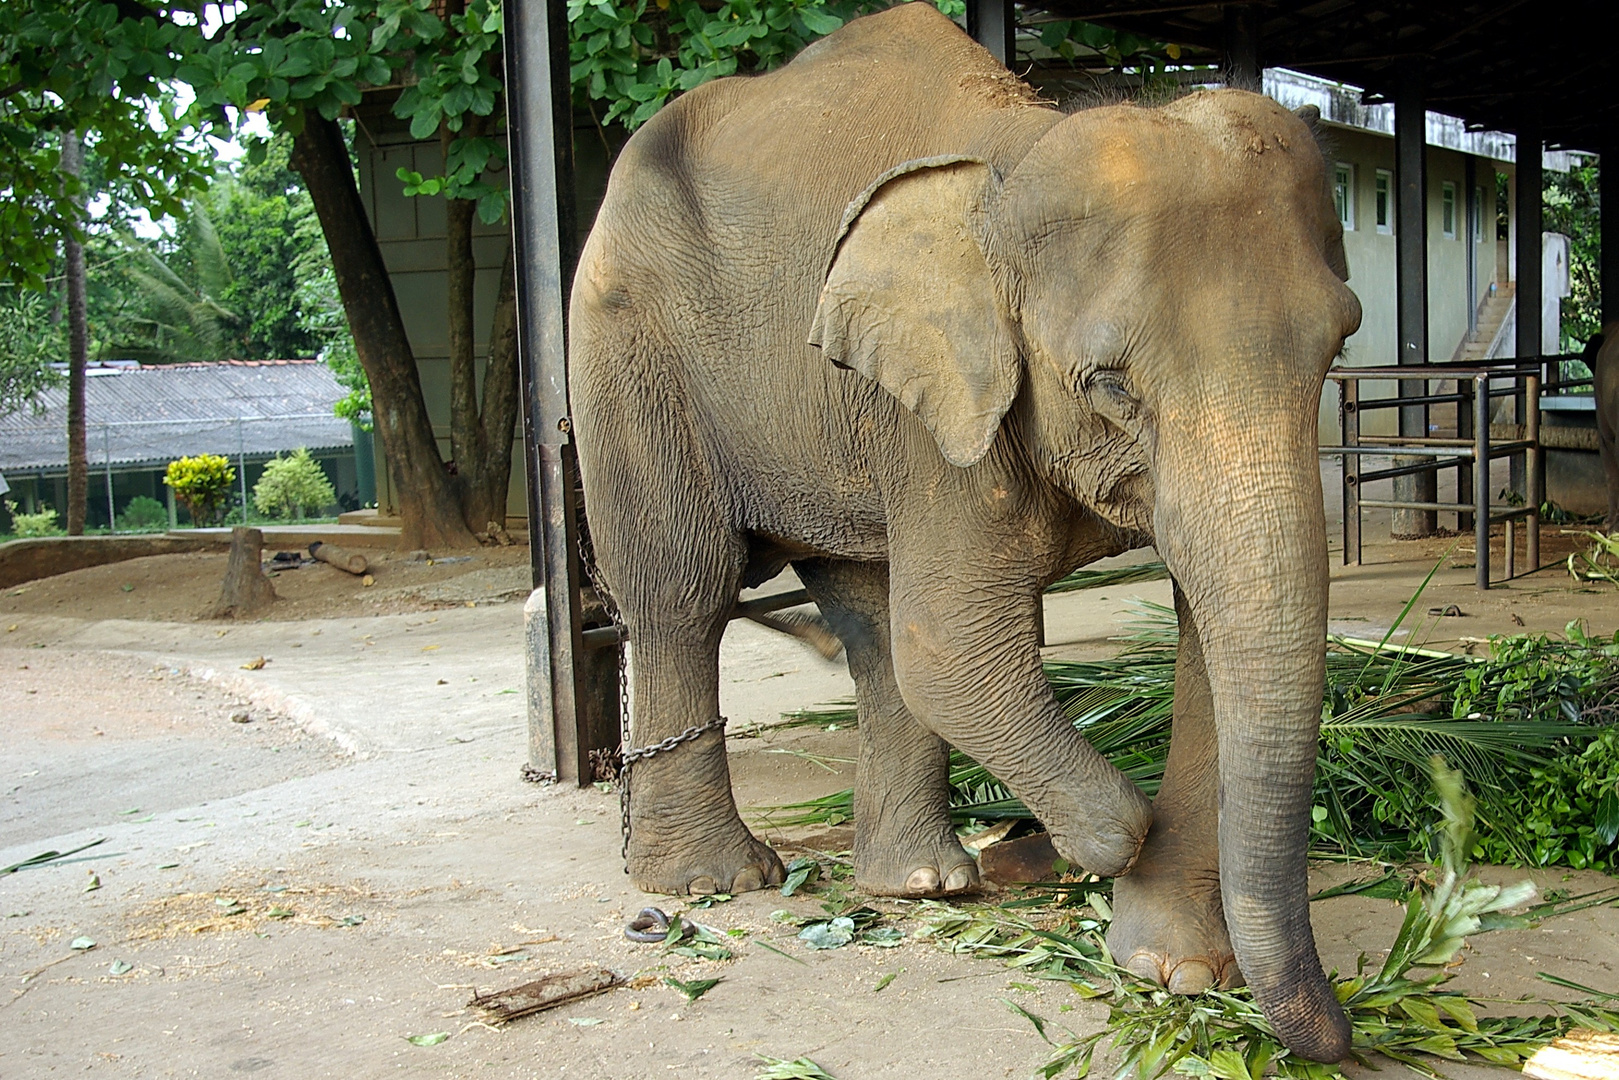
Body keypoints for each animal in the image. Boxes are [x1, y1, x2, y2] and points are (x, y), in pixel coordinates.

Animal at [569, 0, 1366, 1062]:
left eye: (1338, 345)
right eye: (1108, 385)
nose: (1344, 1036)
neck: (1016, 157)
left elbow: (1201, 638)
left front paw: (1177, 973)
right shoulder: (938, 416)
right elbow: (950, 643)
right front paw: (1088, 844)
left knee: (866, 618)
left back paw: (918, 882)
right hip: (626, 343)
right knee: (681, 590)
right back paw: (711, 882)